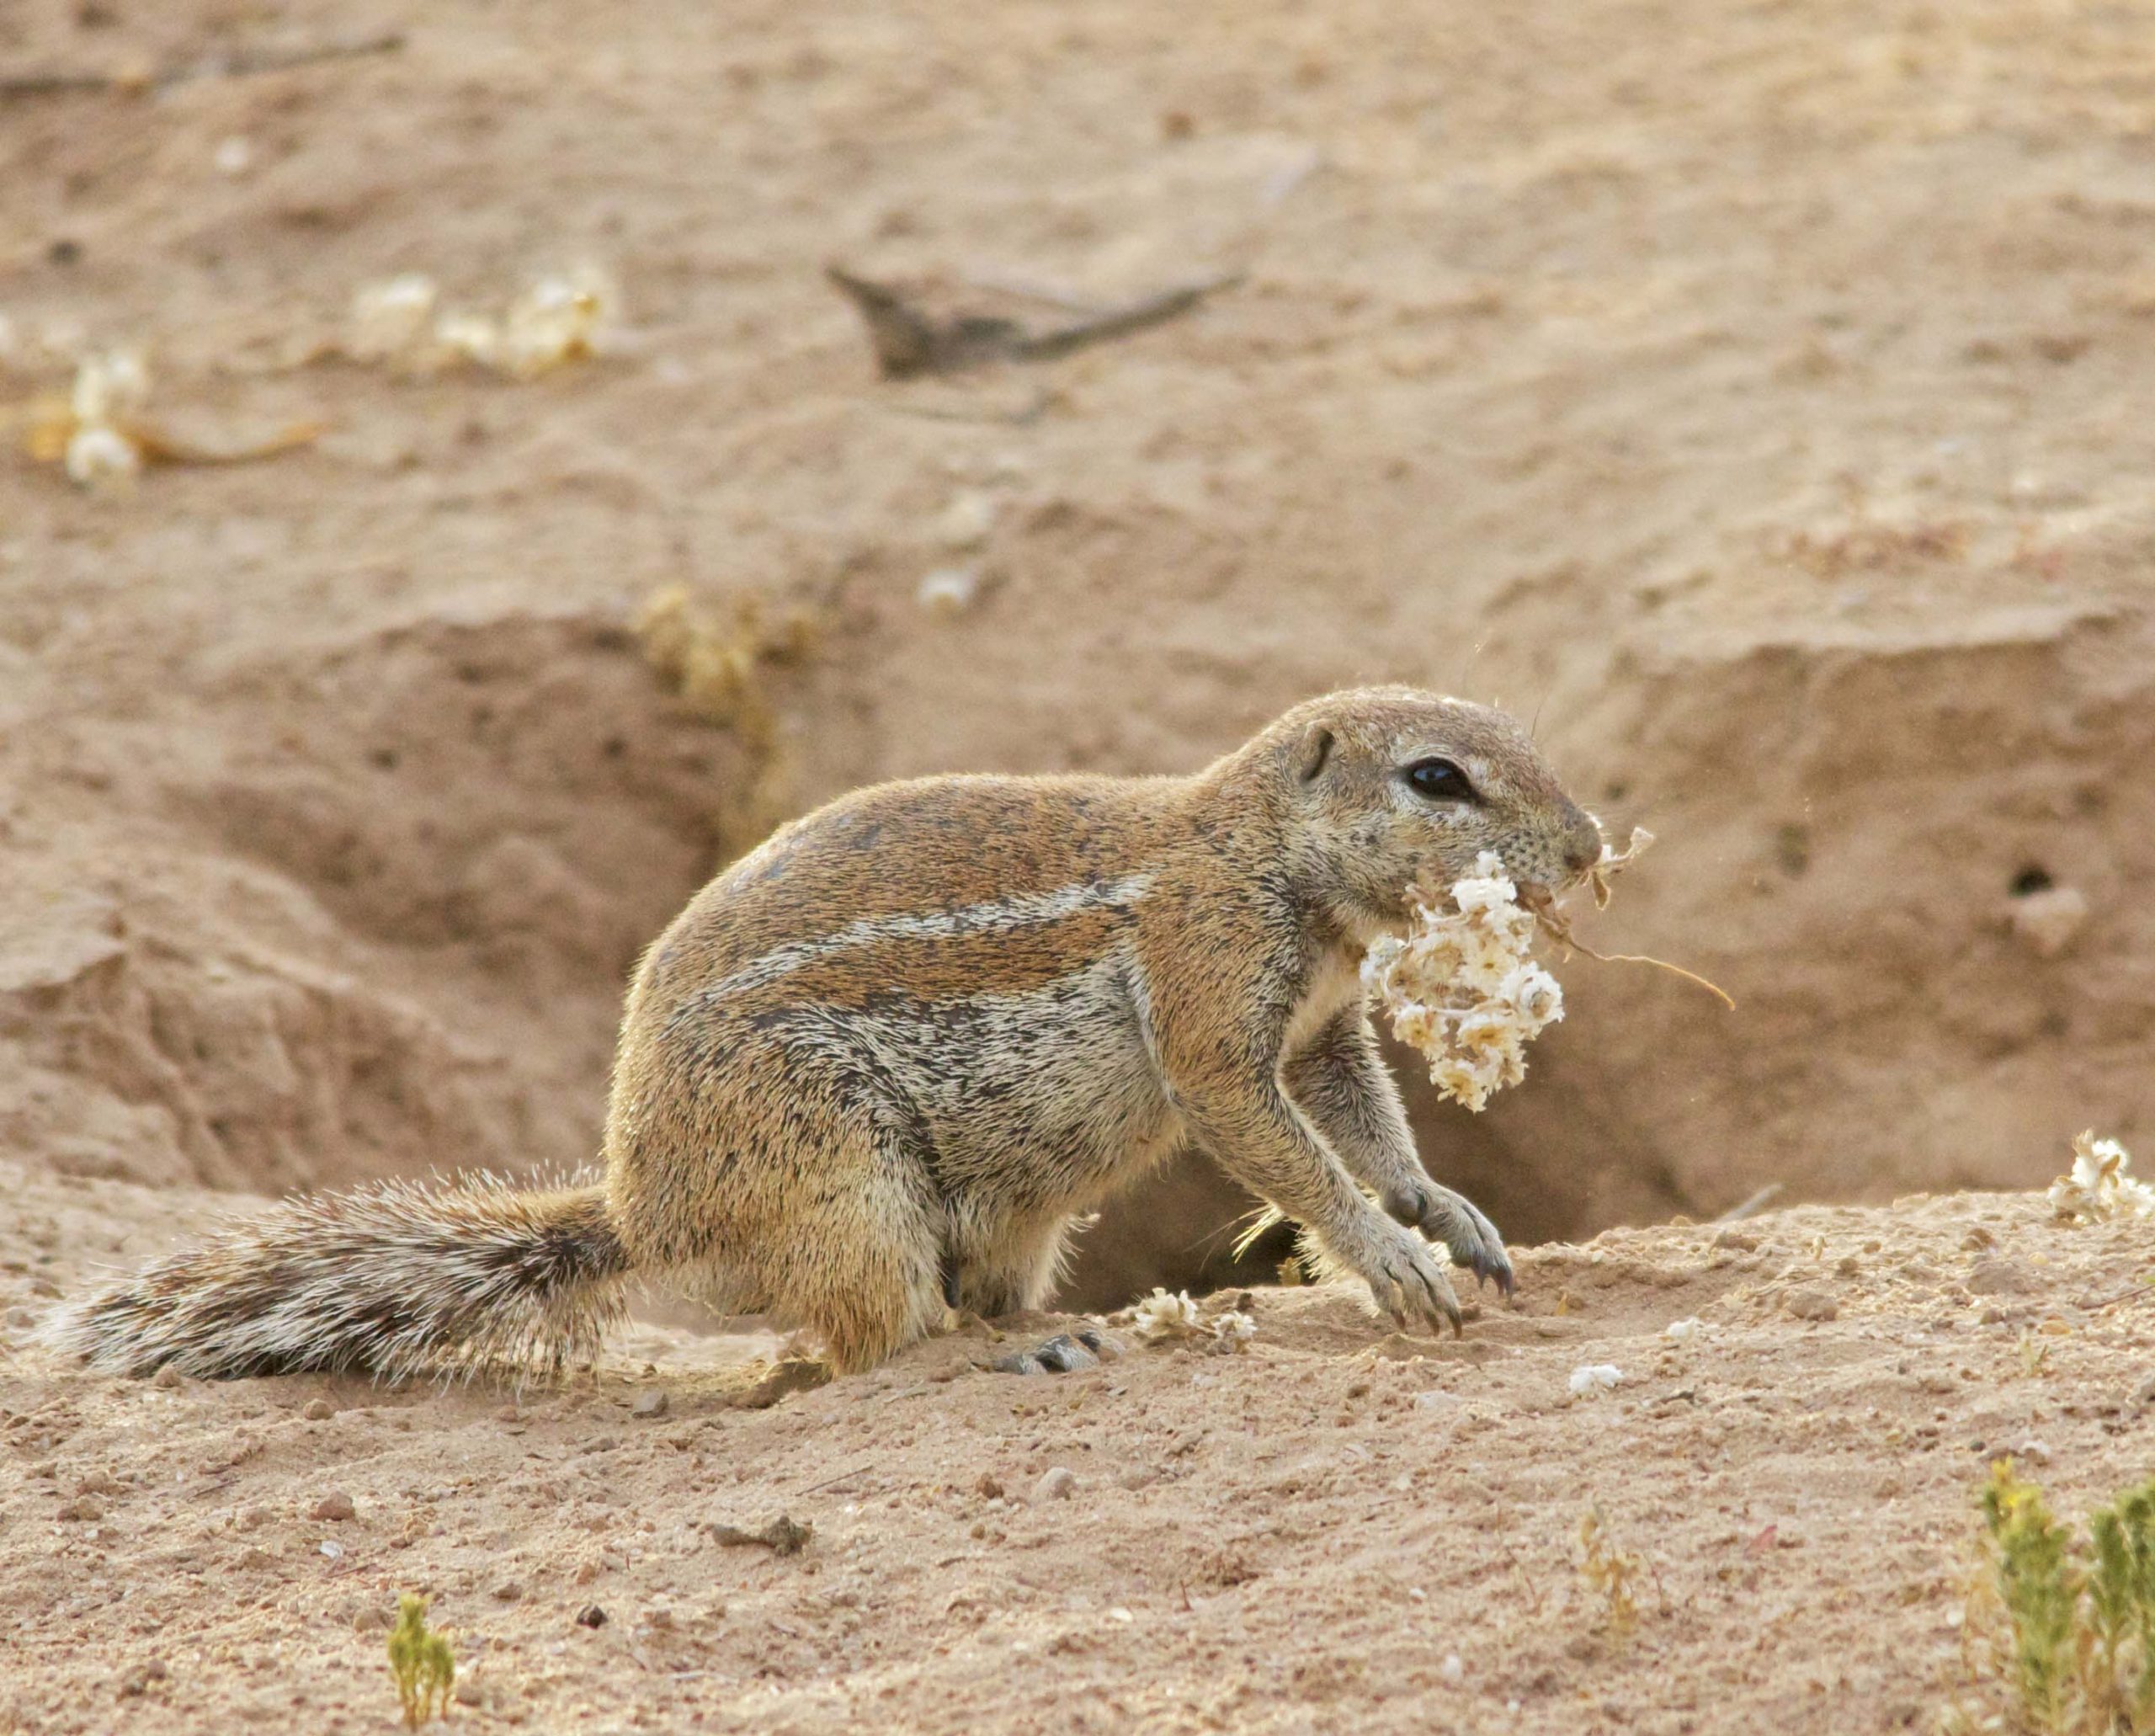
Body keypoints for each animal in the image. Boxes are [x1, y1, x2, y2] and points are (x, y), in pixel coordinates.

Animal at [46, 686, 1604, 1381]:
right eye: (1437, 778)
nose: (1591, 846)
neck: (1265, 852)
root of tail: (644, 1210)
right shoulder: (1213, 995)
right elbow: (1277, 1142)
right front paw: (1393, 1264)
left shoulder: (1325, 1029)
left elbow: (1362, 1120)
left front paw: (1446, 1212)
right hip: (840, 1171)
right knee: (864, 1343)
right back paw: (996, 1353)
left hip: (1001, 1211)